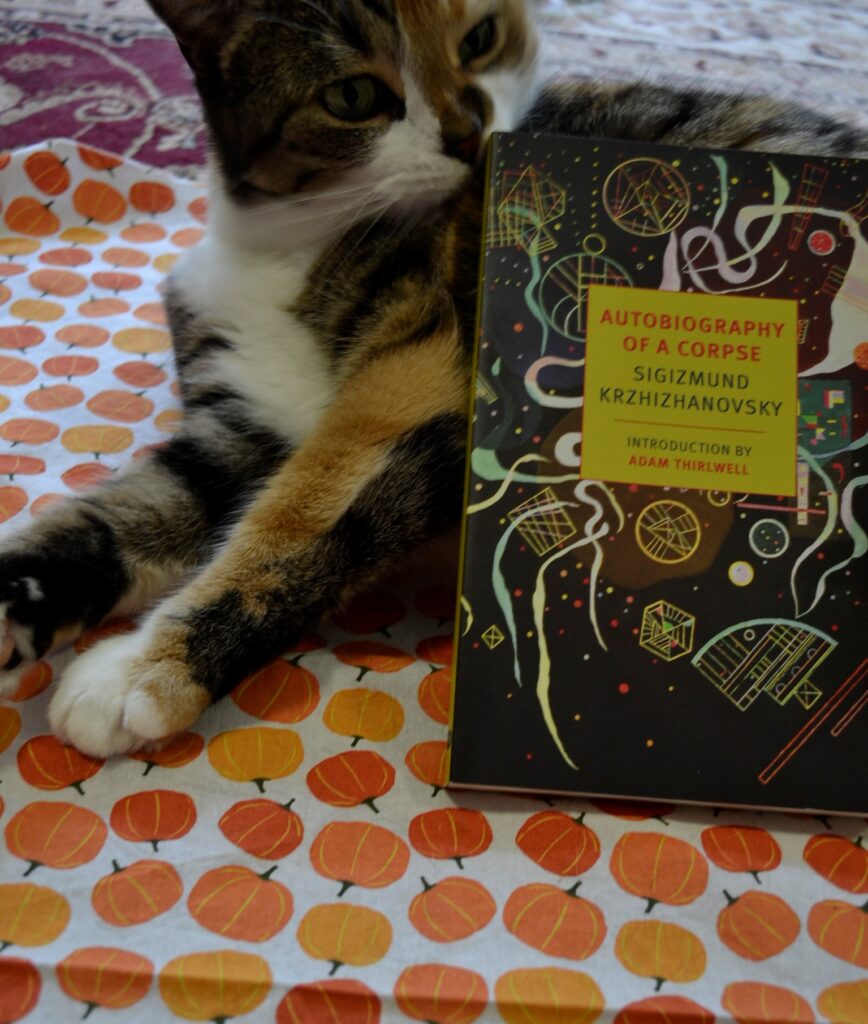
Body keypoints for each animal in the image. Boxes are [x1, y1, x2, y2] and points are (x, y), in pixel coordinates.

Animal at [1, 0, 868, 757]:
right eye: (351, 95)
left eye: (476, 41)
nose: (464, 129)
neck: (287, 243)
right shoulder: (244, 419)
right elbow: (140, 506)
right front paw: (19, 602)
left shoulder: (438, 370)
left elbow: (301, 519)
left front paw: (141, 675)